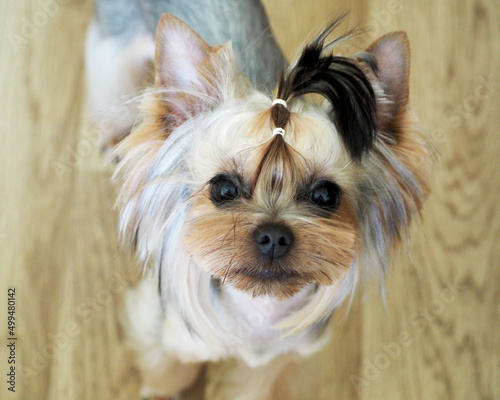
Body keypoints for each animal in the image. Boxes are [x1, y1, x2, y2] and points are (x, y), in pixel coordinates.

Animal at [84, 1, 432, 398]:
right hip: (111, 54)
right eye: (223, 189)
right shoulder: (166, 331)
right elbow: (165, 372)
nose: (274, 236)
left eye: (325, 195)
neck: (259, 306)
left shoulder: (277, 360)